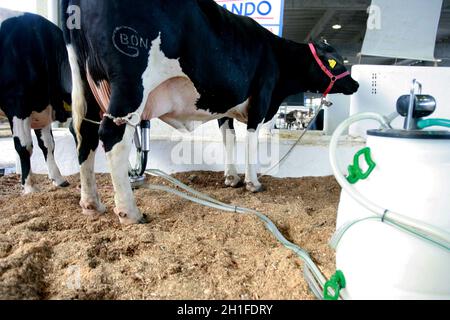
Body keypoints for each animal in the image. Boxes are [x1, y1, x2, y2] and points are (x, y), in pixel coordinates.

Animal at [0, 8, 71, 194]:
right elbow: (24, 146)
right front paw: (29, 187)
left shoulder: (42, 109)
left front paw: (59, 179)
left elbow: (48, 145)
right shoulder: (17, 104)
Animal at [61, 0, 360, 225]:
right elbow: (251, 140)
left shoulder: (226, 107)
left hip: (86, 83)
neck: (276, 56)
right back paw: (129, 212)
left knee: (84, 134)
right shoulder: (261, 97)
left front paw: (231, 178)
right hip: (130, 84)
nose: (355, 84)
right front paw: (253, 183)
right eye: (336, 61)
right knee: (112, 136)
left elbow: (228, 139)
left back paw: (91, 203)